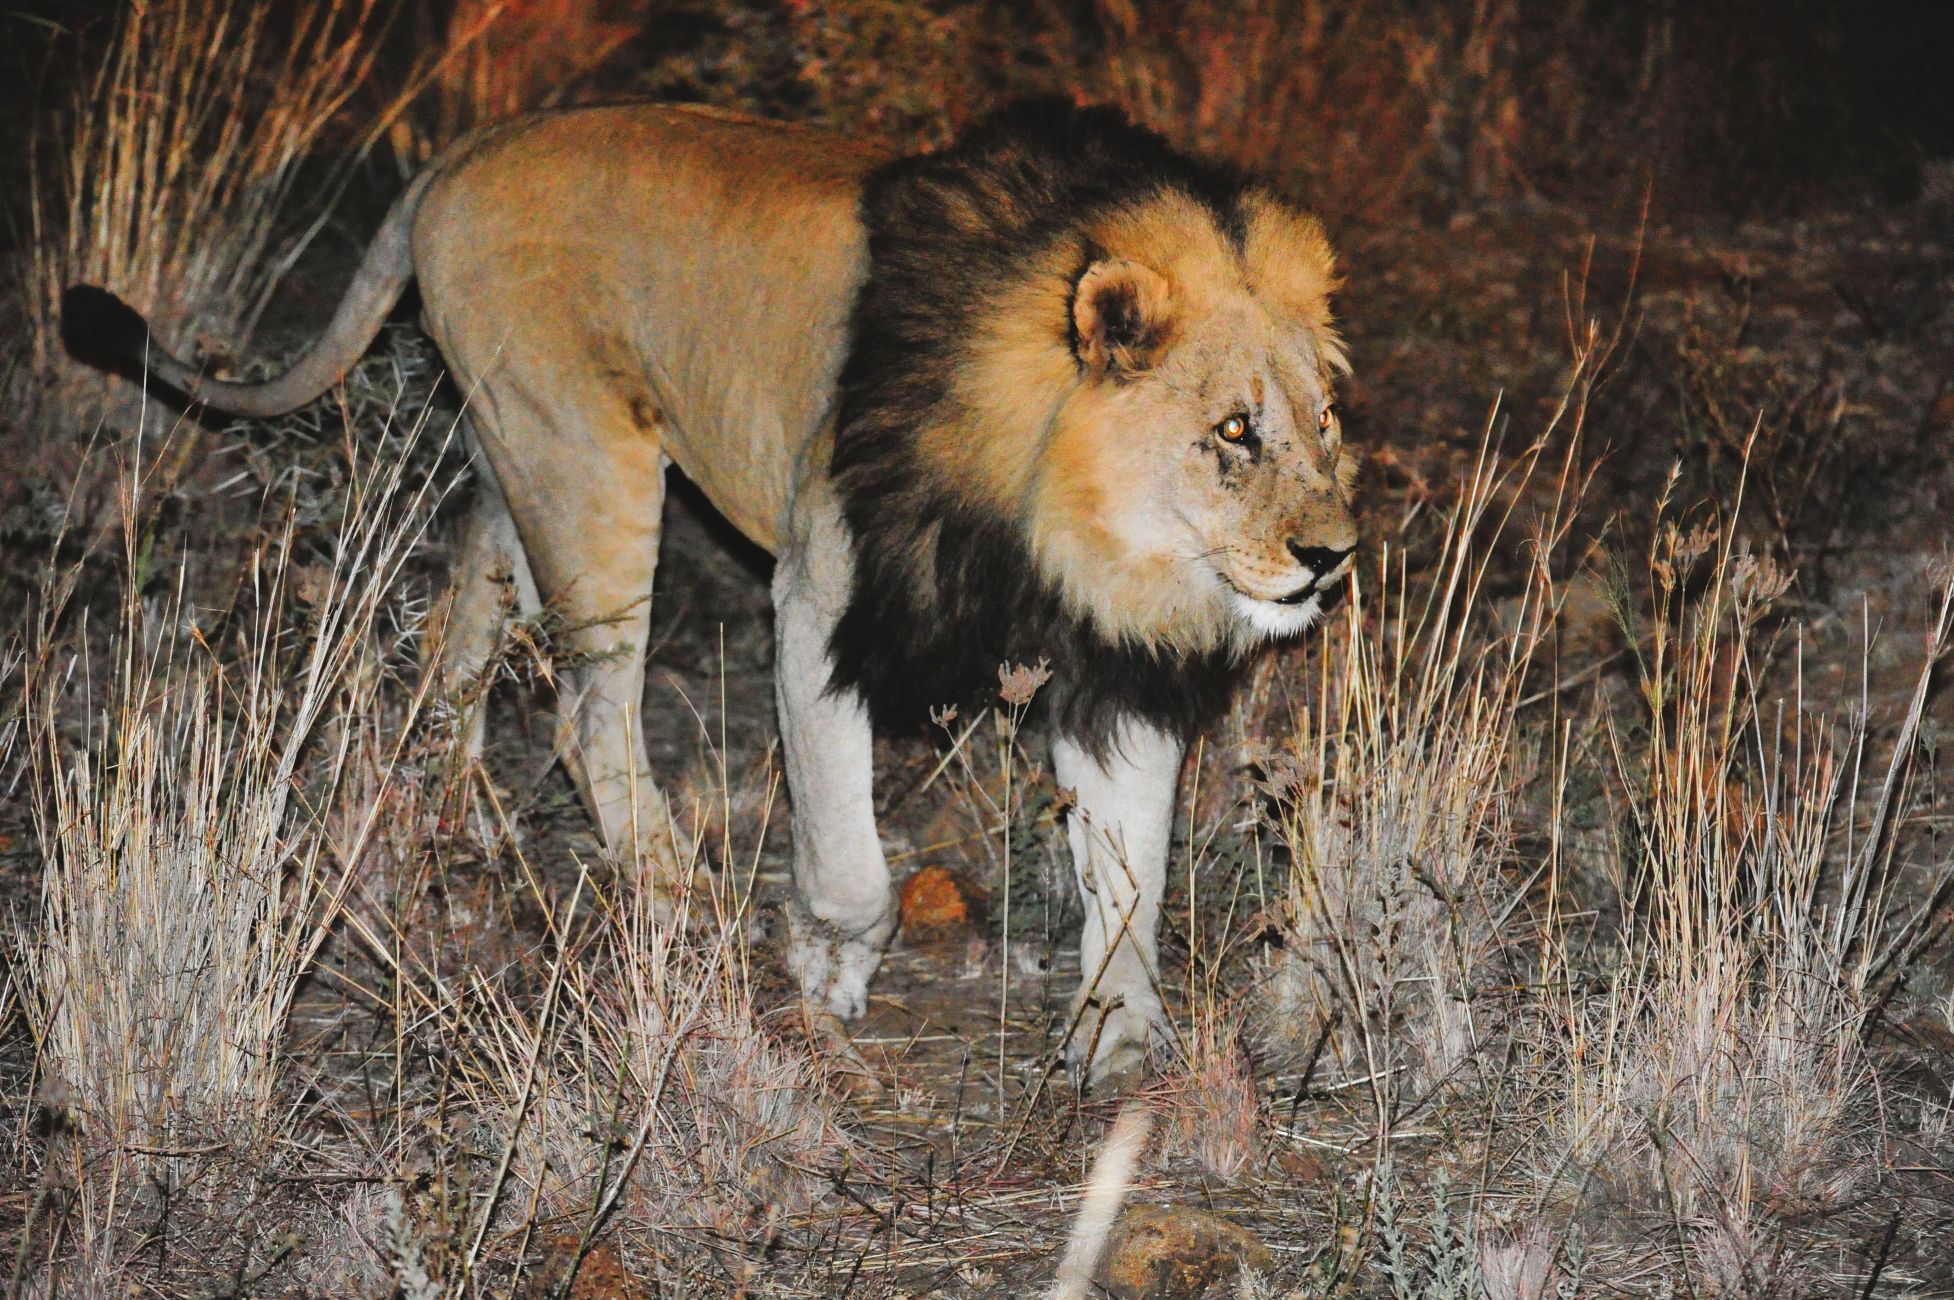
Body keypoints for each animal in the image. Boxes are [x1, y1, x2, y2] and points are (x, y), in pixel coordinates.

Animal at [64, 100, 1358, 1084]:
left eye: (1323, 419)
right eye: (1231, 432)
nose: (1333, 556)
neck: (1073, 528)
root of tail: (468, 148)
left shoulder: (1113, 665)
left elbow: (1129, 867)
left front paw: (1119, 1032)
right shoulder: (819, 598)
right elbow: (847, 850)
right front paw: (829, 966)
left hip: (512, 460)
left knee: (455, 632)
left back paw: (451, 818)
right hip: (591, 472)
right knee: (585, 713)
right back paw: (672, 890)